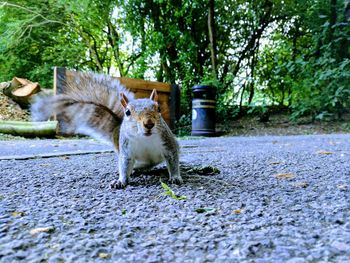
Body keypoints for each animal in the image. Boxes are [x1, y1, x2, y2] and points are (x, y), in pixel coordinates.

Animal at [31, 71, 183, 190]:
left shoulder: (168, 144)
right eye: (127, 112)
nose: (149, 123)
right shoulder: (126, 149)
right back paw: (134, 171)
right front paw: (121, 181)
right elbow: (124, 164)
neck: (144, 138)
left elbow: (173, 160)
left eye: (158, 109)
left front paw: (175, 177)